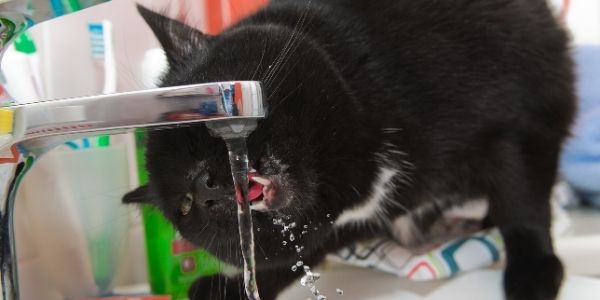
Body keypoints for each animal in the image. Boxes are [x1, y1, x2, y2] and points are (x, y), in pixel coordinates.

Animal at [125, 1, 576, 298]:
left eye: (200, 121)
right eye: (184, 206)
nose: (204, 186)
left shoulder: (517, 123)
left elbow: (522, 202)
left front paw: (533, 272)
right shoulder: (347, 223)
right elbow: (297, 257)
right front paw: (233, 290)